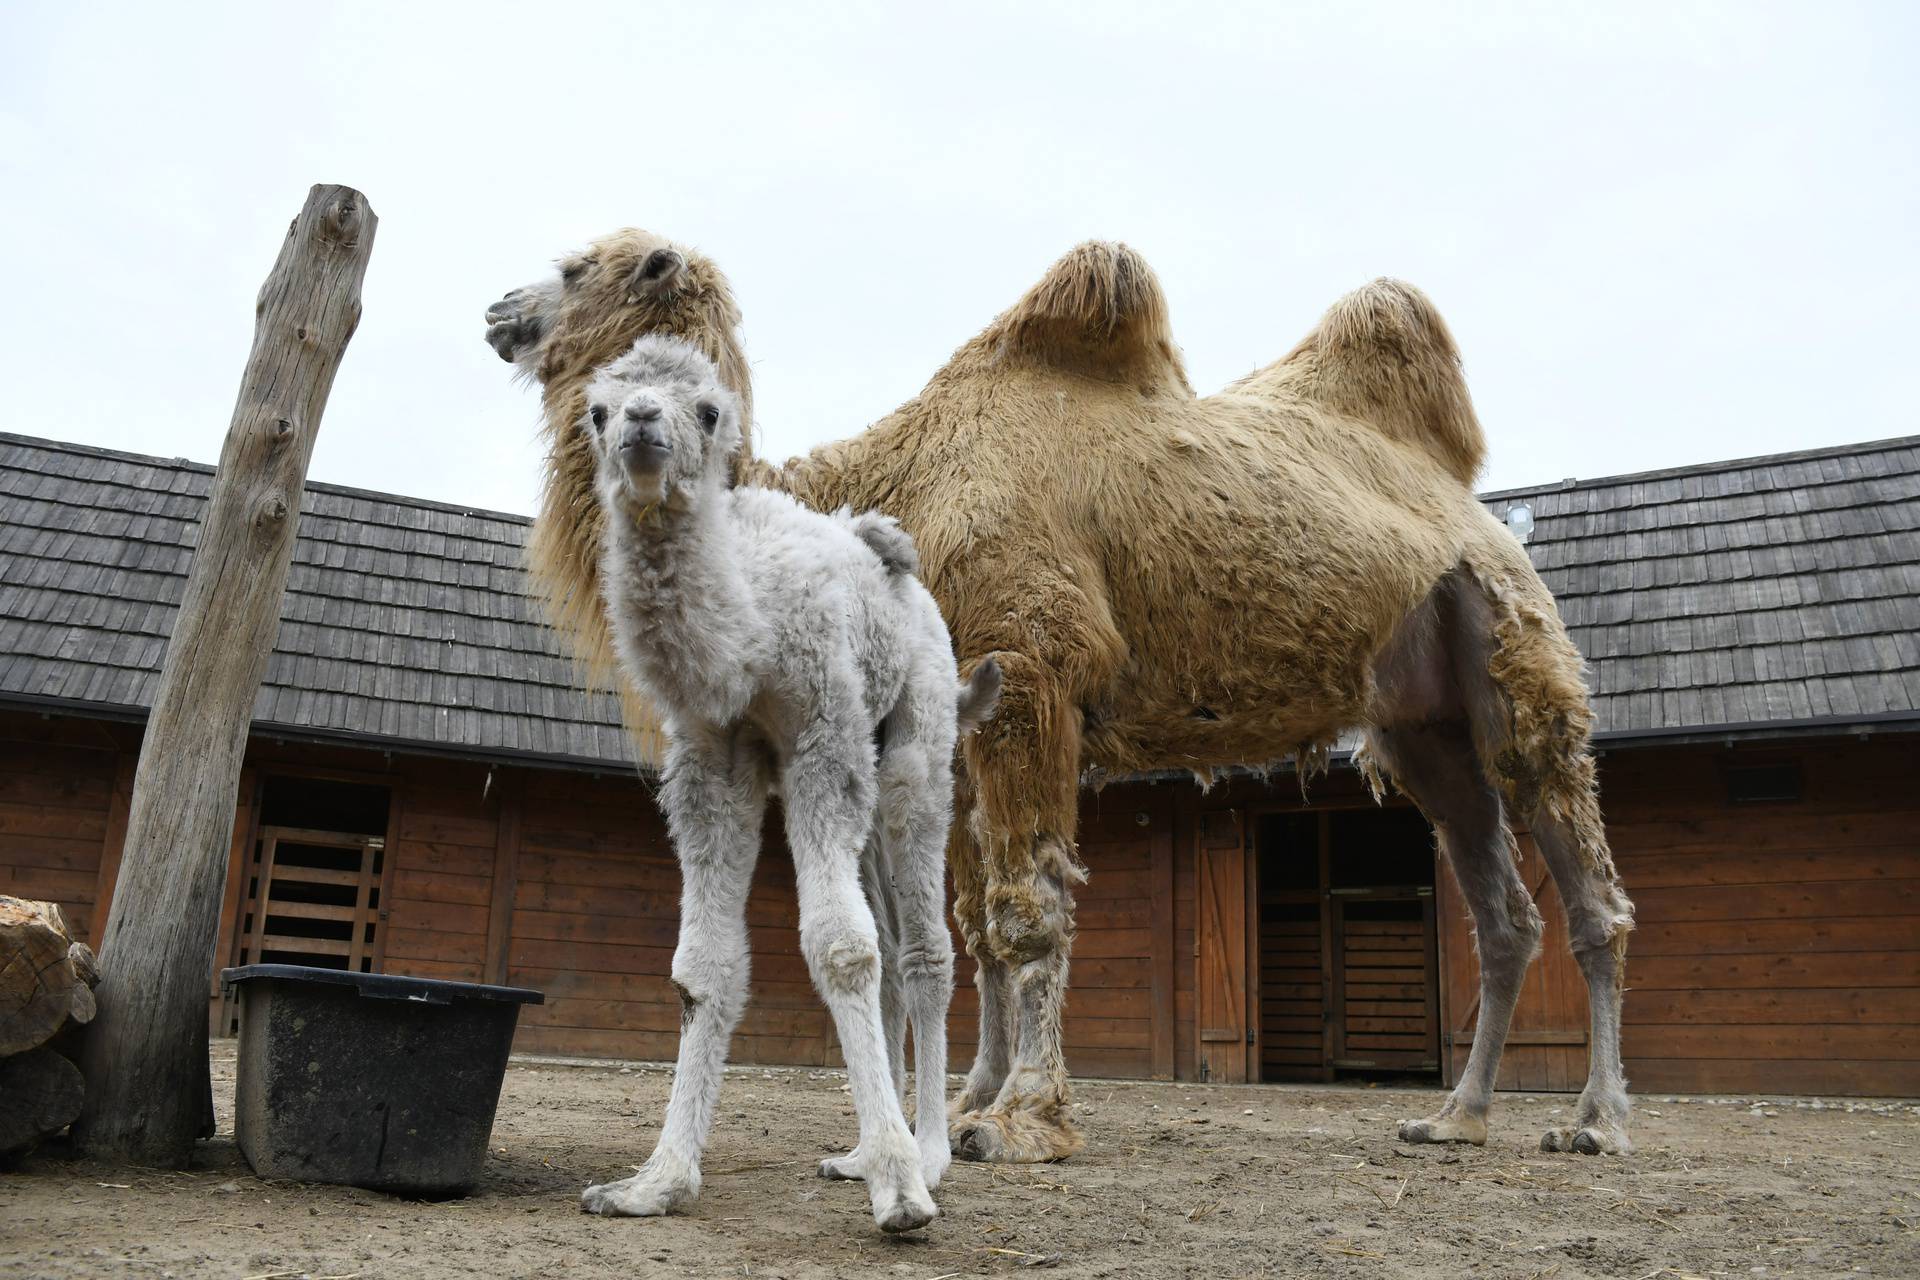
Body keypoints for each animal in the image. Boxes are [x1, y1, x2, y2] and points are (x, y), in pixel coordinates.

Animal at [572, 335, 998, 1235]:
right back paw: (865, 1150)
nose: (641, 424)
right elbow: (702, 966)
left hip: (913, 752)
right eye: (597, 409)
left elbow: (839, 947)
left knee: (922, 949)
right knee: (889, 947)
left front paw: (901, 1195)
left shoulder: (820, 734)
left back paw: (928, 1156)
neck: (751, 636)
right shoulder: (711, 764)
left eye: (708, 410)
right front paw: (655, 1183)